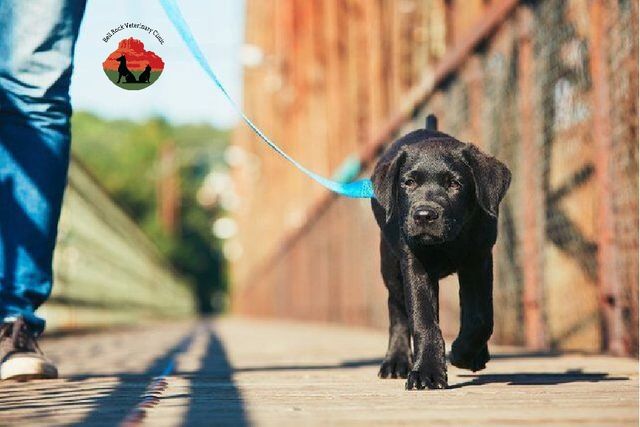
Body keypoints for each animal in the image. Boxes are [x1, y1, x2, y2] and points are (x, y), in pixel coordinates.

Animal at [370, 120, 510, 392]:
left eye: (454, 184)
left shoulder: (479, 260)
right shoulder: (414, 263)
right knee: (397, 308)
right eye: (409, 183)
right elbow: (423, 319)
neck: (448, 242)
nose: (424, 215)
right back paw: (396, 361)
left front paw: (464, 353)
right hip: (390, 265)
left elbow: (480, 317)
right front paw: (427, 371)